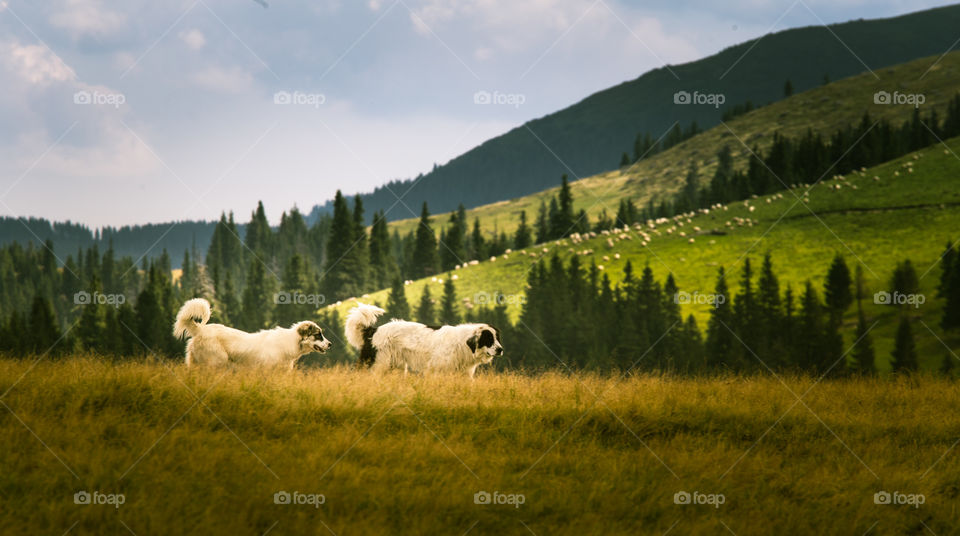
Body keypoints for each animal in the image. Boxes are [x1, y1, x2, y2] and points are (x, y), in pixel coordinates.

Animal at [344, 302, 502, 376]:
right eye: (489, 339)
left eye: (497, 338)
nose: (501, 349)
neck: (463, 343)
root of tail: (374, 330)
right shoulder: (435, 370)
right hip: (378, 364)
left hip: (397, 366)